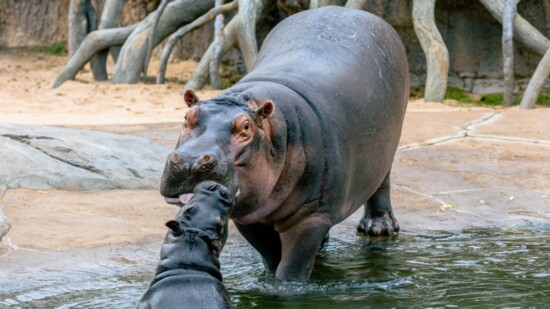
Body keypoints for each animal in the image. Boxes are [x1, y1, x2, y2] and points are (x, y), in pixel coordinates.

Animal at [160, 6, 410, 282]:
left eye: (246, 127)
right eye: (187, 117)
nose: (190, 162)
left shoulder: (311, 217)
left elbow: (292, 267)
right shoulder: (249, 216)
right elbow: (270, 257)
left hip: (387, 149)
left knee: (382, 183)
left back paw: (379, 228)